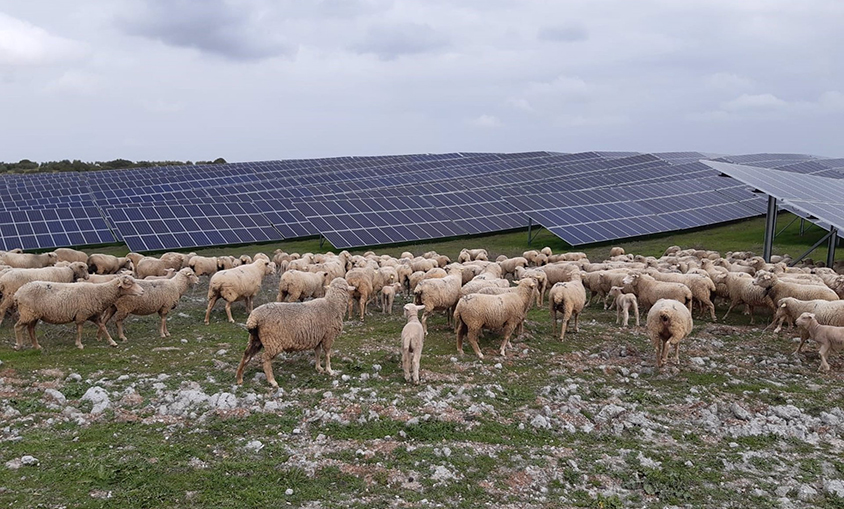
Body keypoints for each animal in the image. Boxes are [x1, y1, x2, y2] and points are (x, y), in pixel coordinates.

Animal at [12, 274, 143, 350]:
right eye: (129, 283)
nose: (142, 292)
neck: (100, 292)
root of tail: (17, 293)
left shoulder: (94, 315)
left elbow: (103, 327)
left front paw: (112, 342)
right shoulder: (81, 314)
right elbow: (80, 329)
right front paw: (79, 344)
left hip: (33, 314)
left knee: (30, 329)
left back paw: (37, 346)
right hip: (27, 313)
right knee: (18, 327)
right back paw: (19, 345)